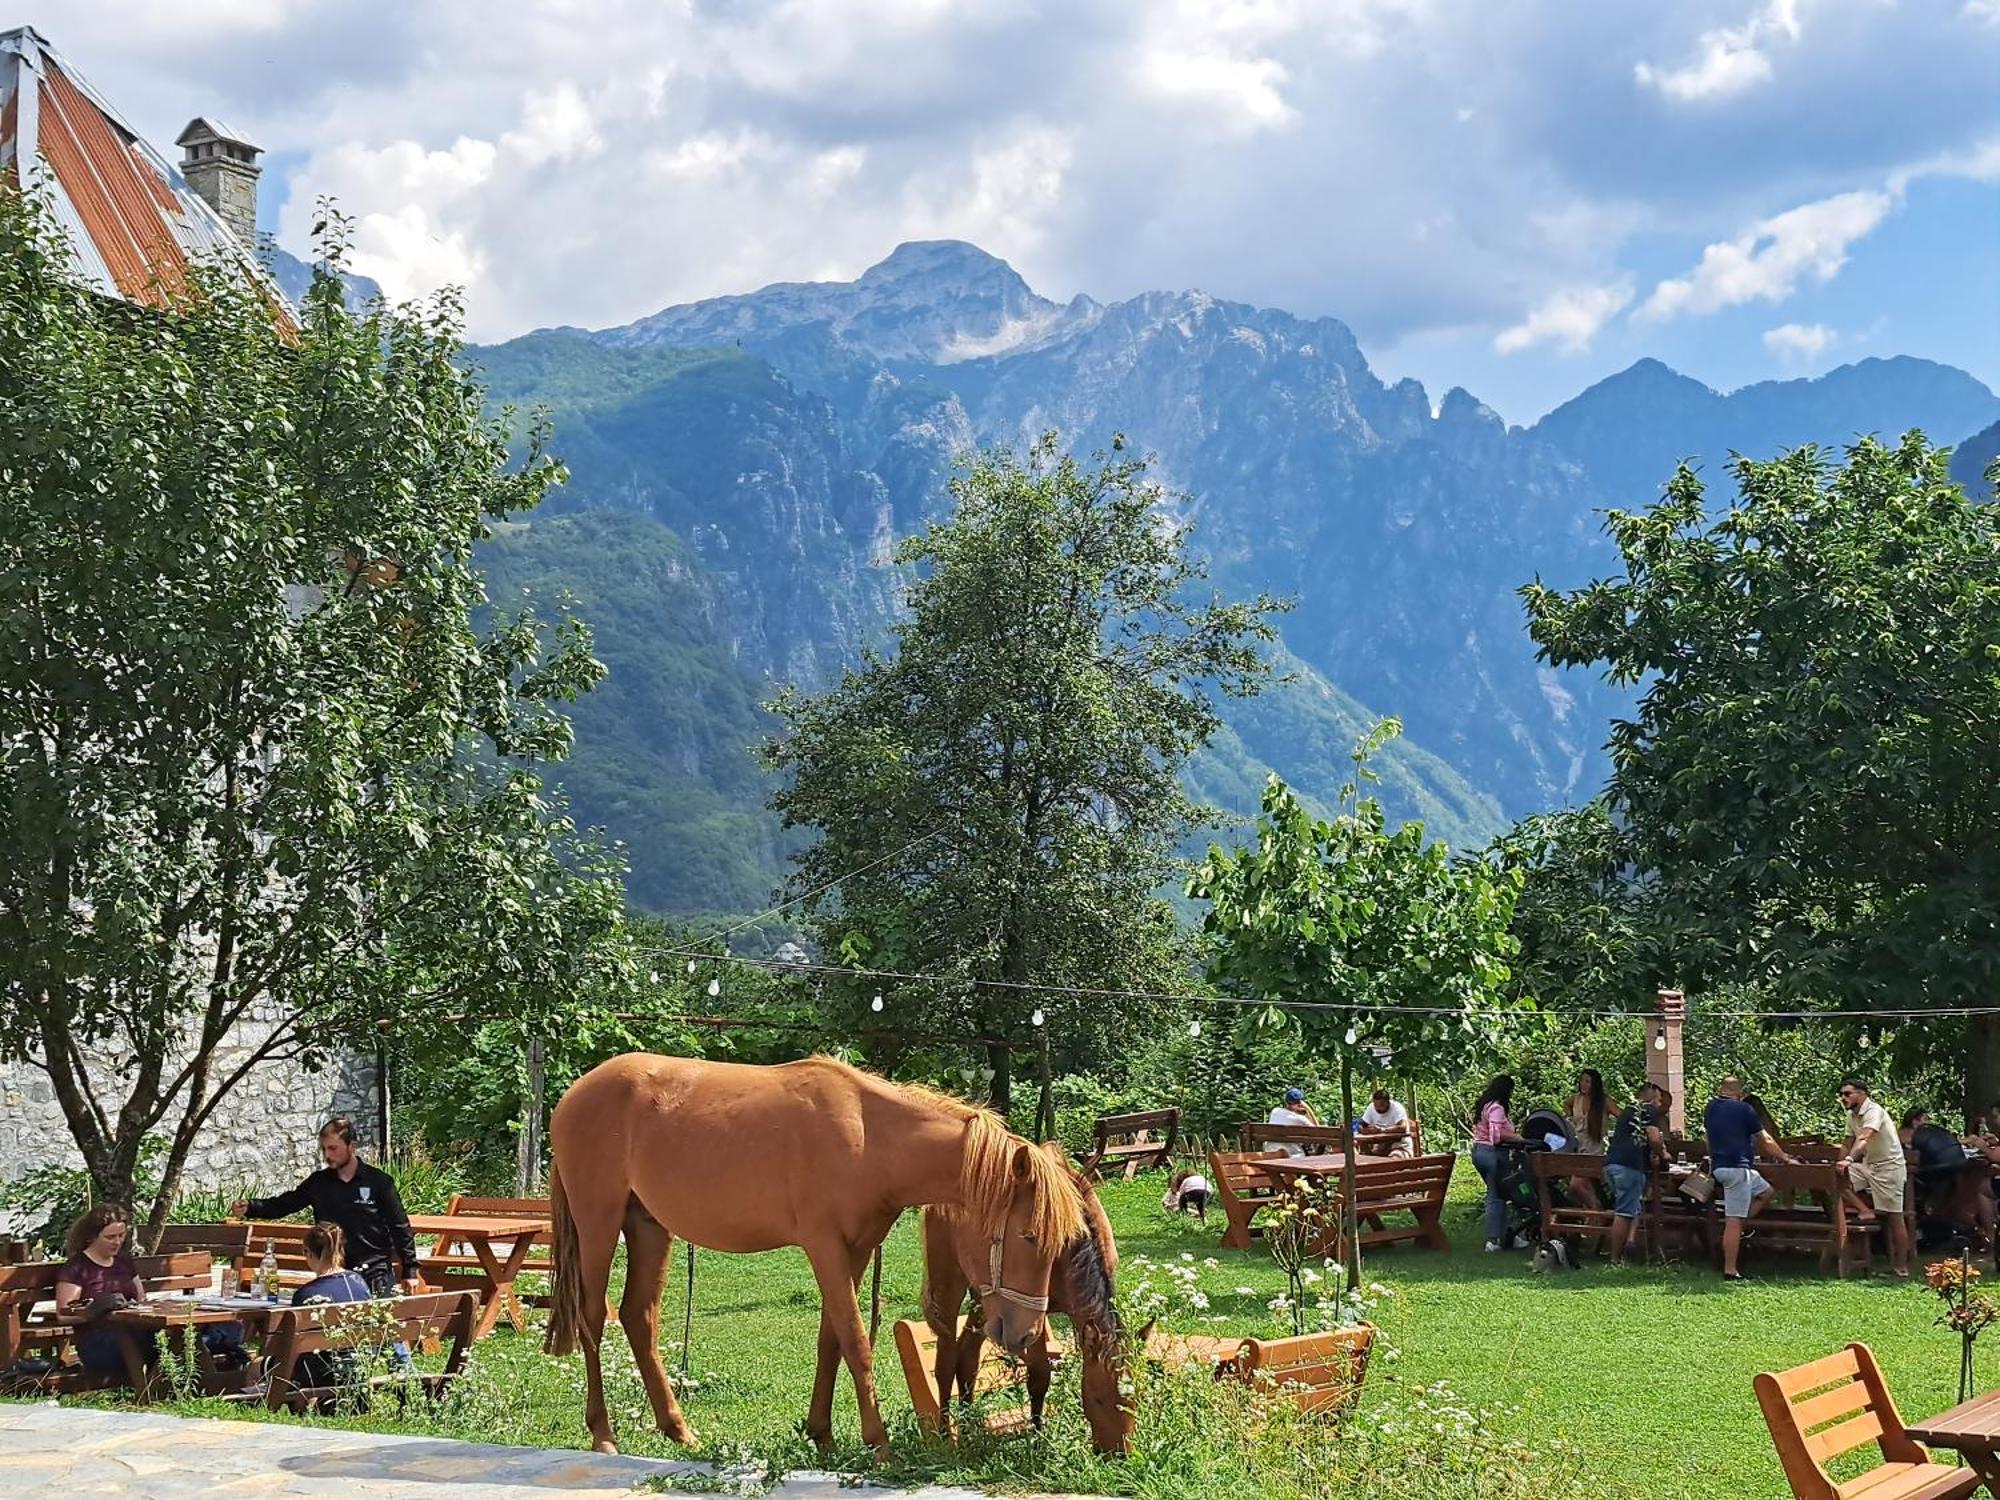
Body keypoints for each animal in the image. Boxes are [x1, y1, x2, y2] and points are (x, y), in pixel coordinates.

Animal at [544, 1056, 1080, 1456]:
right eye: (1029, 1236)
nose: (1026, 1334)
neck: (868, 1136)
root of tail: (572, 1097)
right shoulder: (825, 1247)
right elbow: (857, 1342)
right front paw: (878, 1443)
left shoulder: (856, 1251)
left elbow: (831, 1341)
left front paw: (821, 1434)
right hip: (600, 1223)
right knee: (593, 1318)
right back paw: (603, 1435)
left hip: (649, 1228)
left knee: (639, 1318)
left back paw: (678, 1430)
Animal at [916, 1160, 1136, 1456]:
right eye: (1099, 1399)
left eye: (1136, 1401)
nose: (1118, 1455)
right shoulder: (1028, 1317)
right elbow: (1040, 1377)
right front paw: (1037, 1437)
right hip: (949, 1286)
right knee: (946, 1361)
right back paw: (944, 1433)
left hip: (983, 1300)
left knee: (967, 1357)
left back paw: (969, 1429)